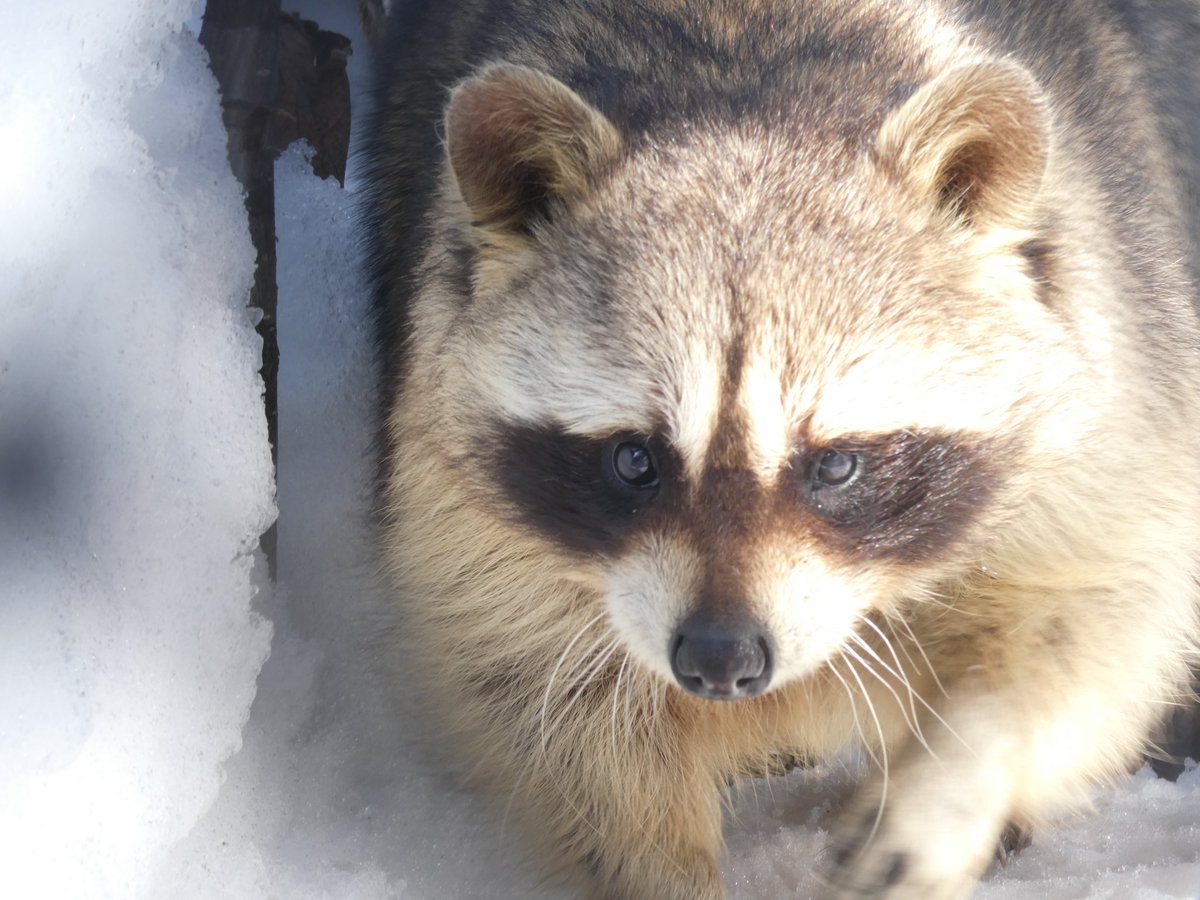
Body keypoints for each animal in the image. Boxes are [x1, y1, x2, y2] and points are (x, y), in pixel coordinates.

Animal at [363, 1, 1200, 897]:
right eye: (634, 459)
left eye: (834, 464)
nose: (720, 658)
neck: (745, 102)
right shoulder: (461, 506)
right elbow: (538, 696)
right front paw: (656, 865)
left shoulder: (1111, 391)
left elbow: (1096, 620)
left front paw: (955, 777)